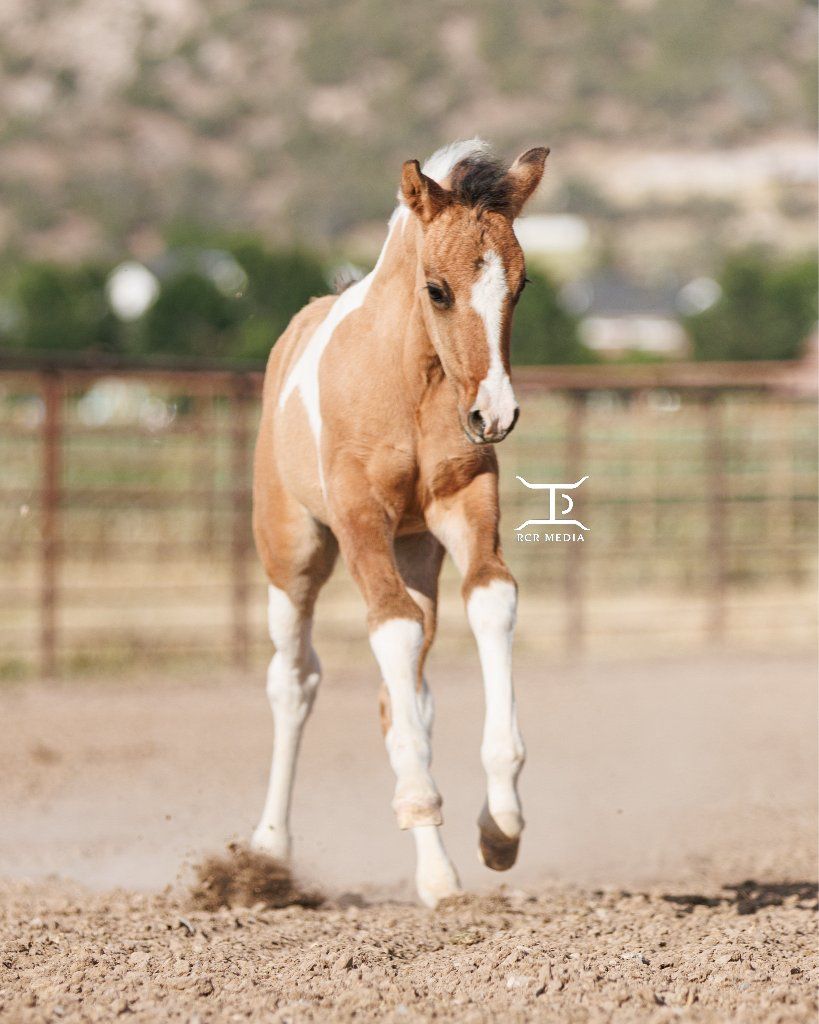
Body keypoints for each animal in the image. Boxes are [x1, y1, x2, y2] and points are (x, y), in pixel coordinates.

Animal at [251, 138, 548, 906]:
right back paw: (267, 854)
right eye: (437, 289)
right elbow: (387, 632)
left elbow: (490, 602)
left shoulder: (463, 505)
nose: (494, 415)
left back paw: (438, 876)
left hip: (415, 552)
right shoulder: (359, 519)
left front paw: (501, 825)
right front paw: (422, 802)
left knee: (407, 691)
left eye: (521, 286)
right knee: (294, 680)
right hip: (293, 554)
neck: (410, 381)